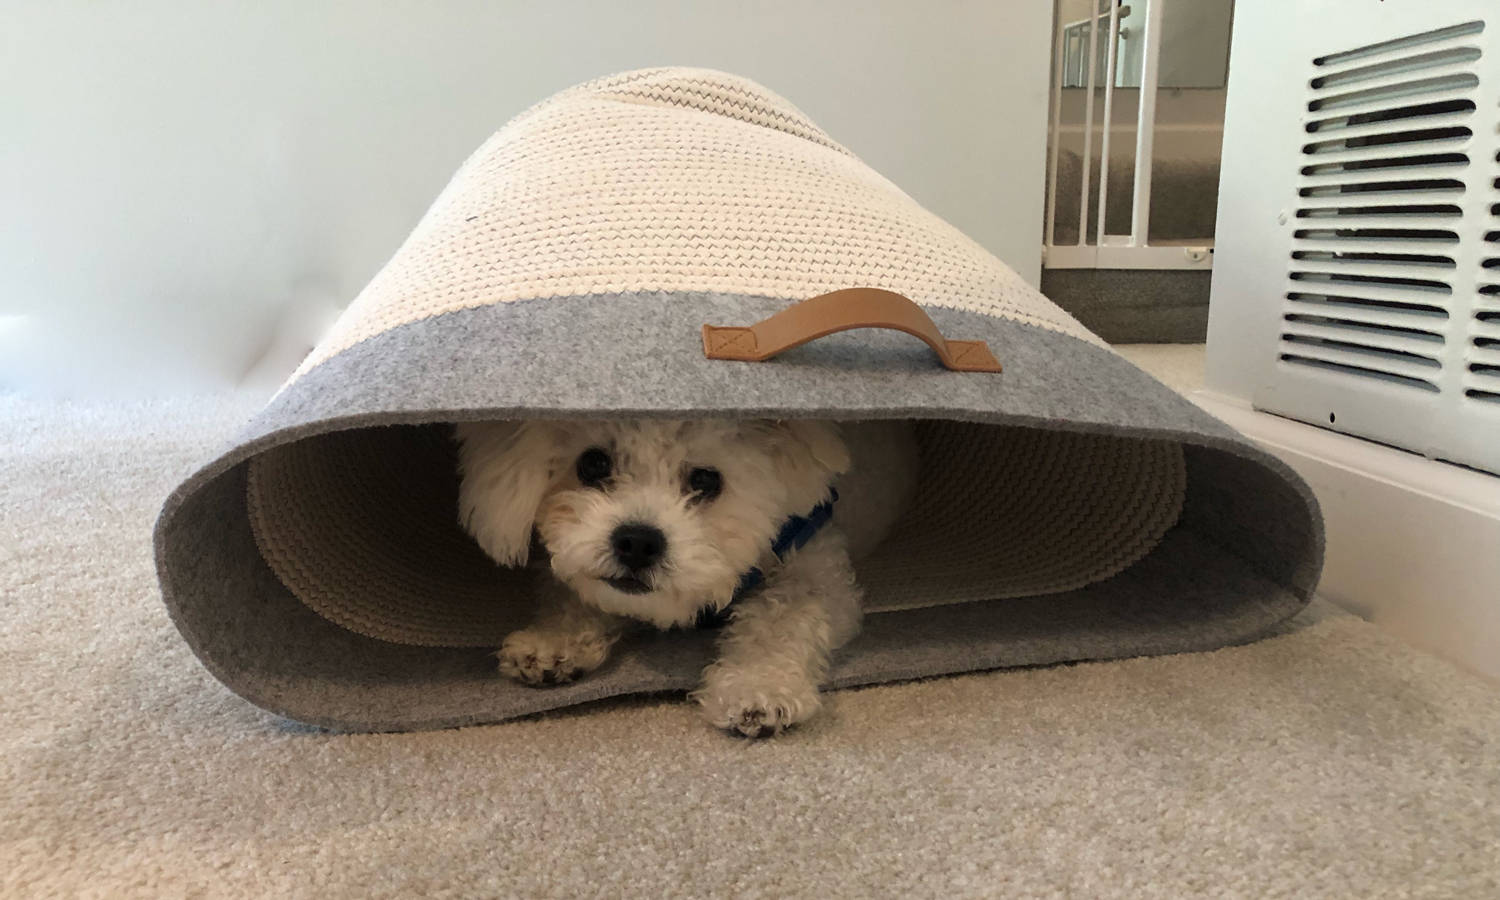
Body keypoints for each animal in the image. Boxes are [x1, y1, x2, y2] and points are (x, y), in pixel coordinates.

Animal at [456, 417, 870, 735]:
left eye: (706, 479)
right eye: (593, 463)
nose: (637, 542)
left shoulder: (816, 567)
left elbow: (781, 618)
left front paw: (757, 685)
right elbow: (572, 598)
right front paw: (551, 642)